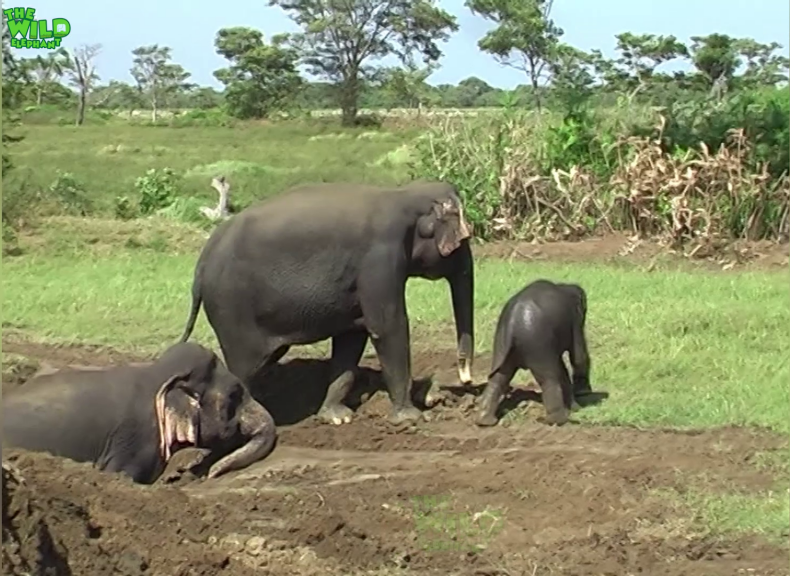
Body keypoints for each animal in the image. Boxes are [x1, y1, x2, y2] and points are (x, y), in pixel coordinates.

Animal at [180, 180, 476, 428]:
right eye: (463, 241)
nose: (467, 379)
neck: (403, 195)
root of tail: (202, 260)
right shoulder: (380, 260)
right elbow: (387, 327)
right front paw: (410, 418)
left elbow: (352, 337)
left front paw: (337, 418)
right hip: (231, 310)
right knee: (243, 368)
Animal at [474, 280, 592, 428]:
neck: (564, 286)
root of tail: (512, 323)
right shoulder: (574, 321)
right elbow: (578, 355)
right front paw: (583, 395)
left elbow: (562, 367)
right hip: (536, 343)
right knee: (548, 378)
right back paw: (559, 420)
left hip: (502, 345)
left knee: (498, 378)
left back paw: (485, 421)